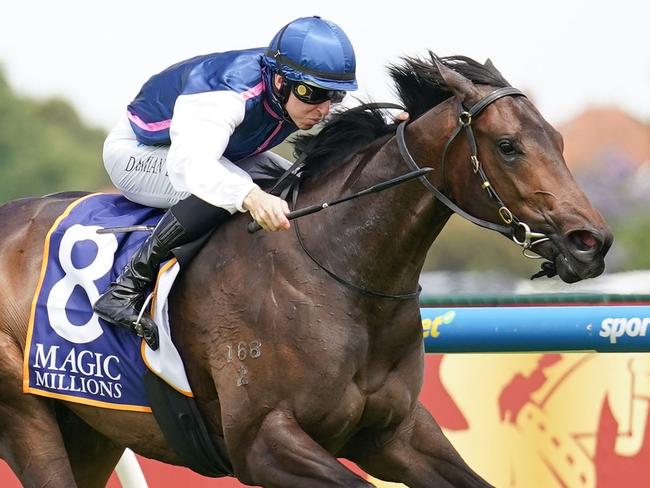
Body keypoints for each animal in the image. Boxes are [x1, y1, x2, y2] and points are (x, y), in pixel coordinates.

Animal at [0, 53, 608, 488]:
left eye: (557, 139)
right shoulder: (262, 442)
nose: (591, 242)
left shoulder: (396, 433)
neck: (340, 275)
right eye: (507, 146)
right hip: (28, 418)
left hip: (91, 427)